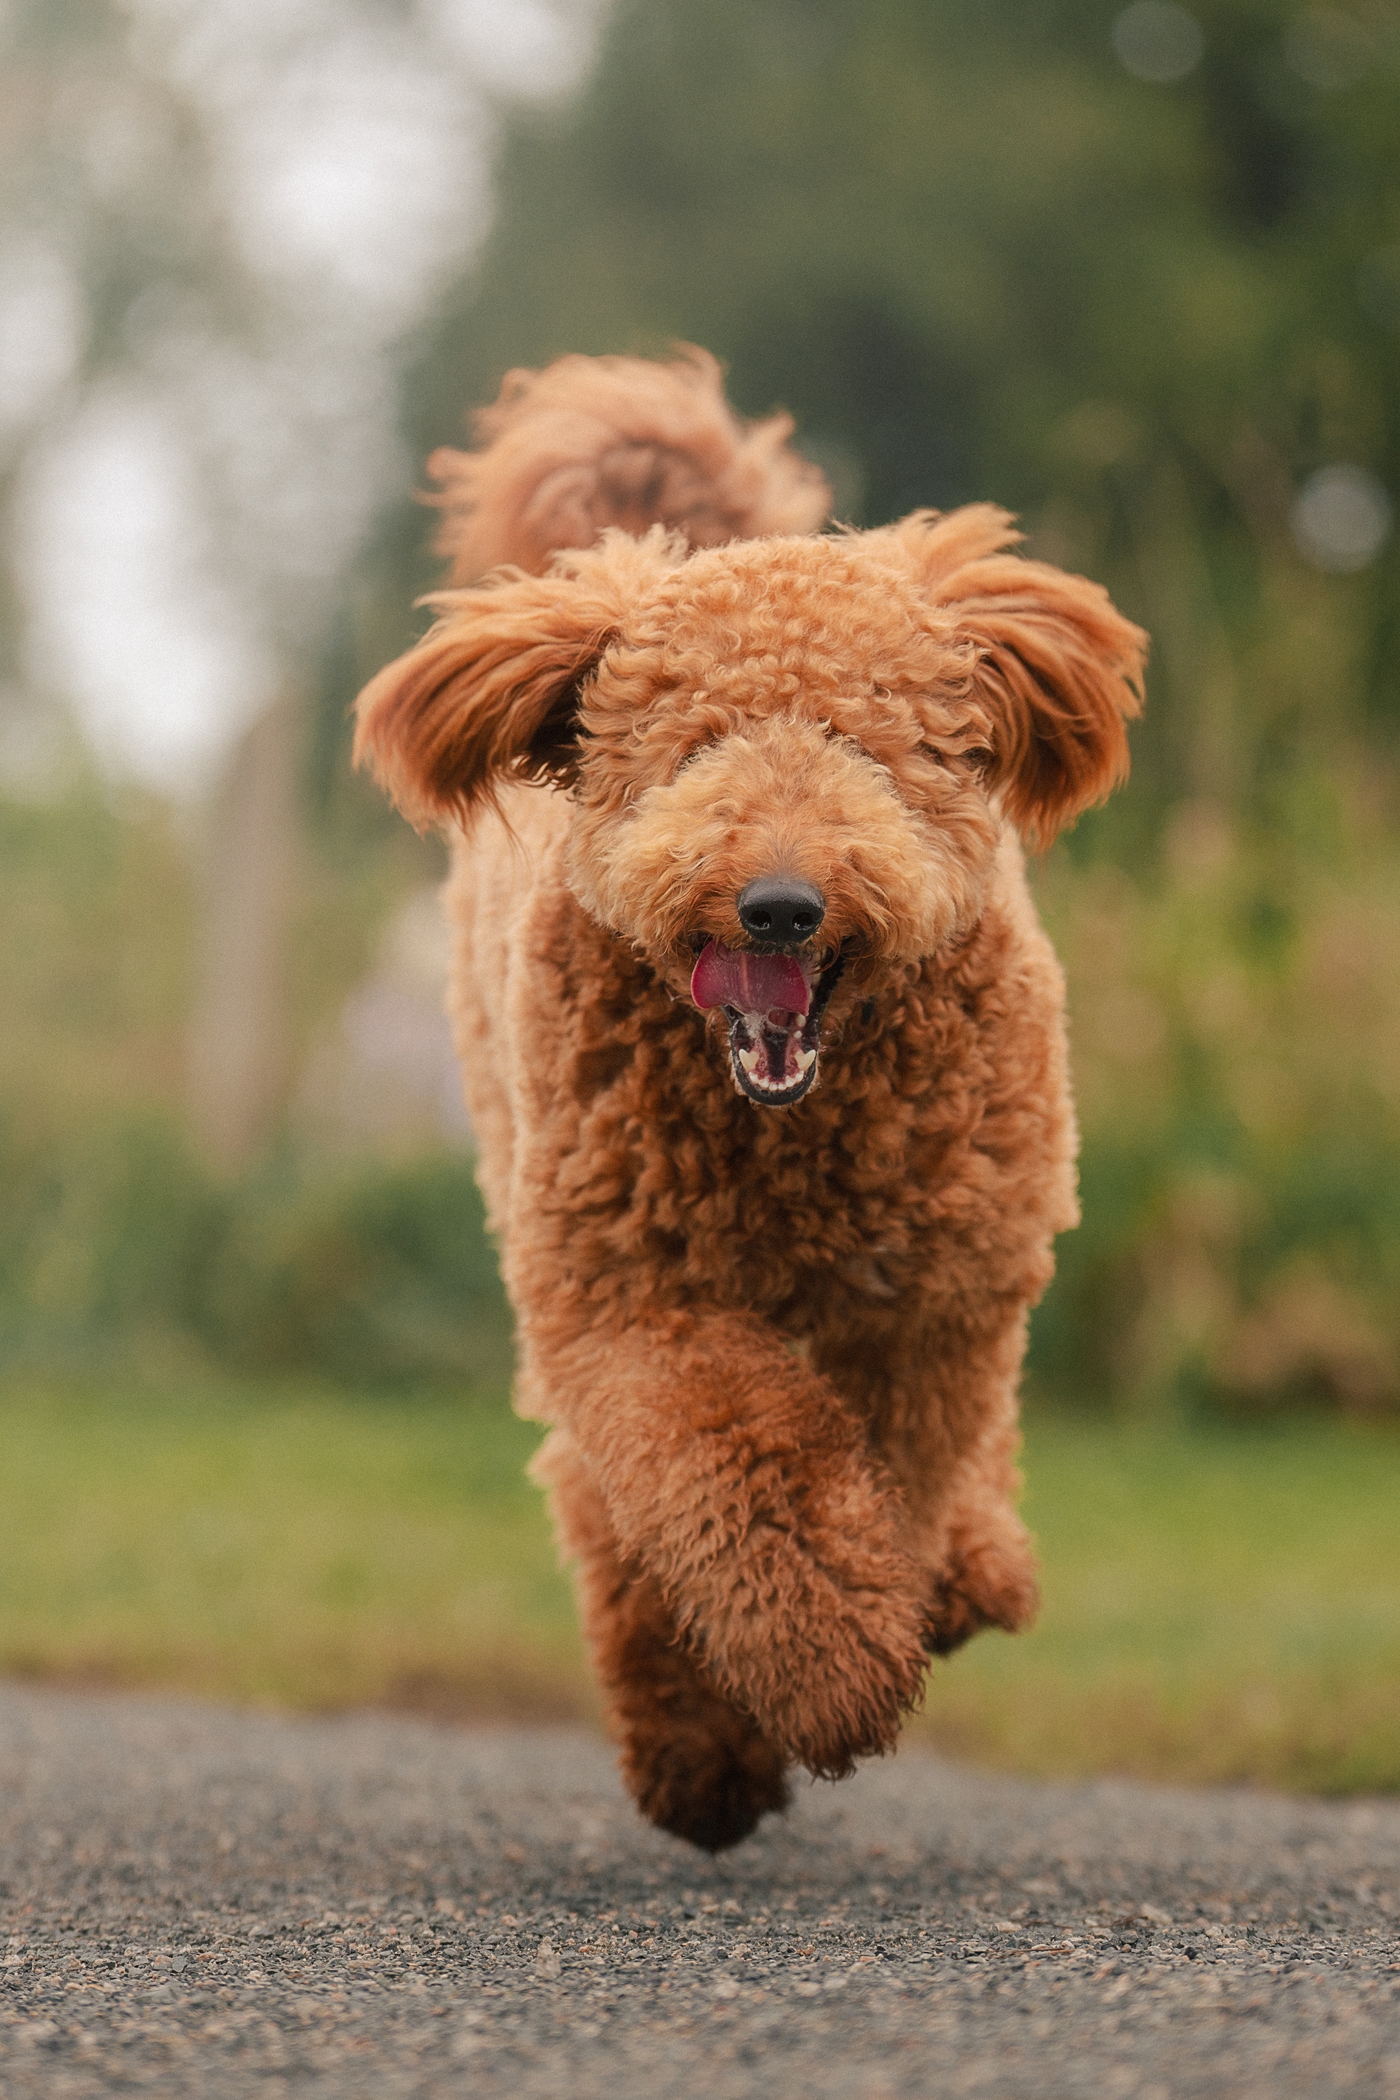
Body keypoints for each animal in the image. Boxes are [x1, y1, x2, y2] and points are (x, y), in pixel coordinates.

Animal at [352, 348, 1150, 1856]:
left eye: (866, 745)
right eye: (692, 749)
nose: (779, 903)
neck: (792, 1132)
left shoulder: (934, 1301)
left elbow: (894, 1473)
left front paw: (907, 1608)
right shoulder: (633, 1304)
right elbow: (746, 1481)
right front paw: (828, 1680)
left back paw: (971, 1576)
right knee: (607, 1510)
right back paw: (698, 1755)